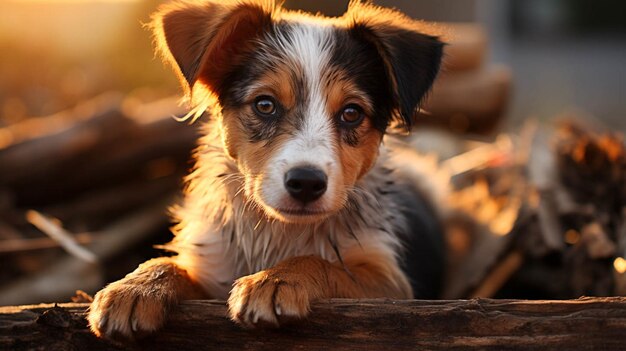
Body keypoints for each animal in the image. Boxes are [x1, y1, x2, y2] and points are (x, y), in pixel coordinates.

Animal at [89, 0, 444, 340]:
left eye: (352, 113)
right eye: (264, 104)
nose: (306, 183)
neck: (281, 232)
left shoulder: (391, 286)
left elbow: (325, 263)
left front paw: (276, 279)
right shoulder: (215, 268)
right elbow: (172, 264)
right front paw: (138, 286)